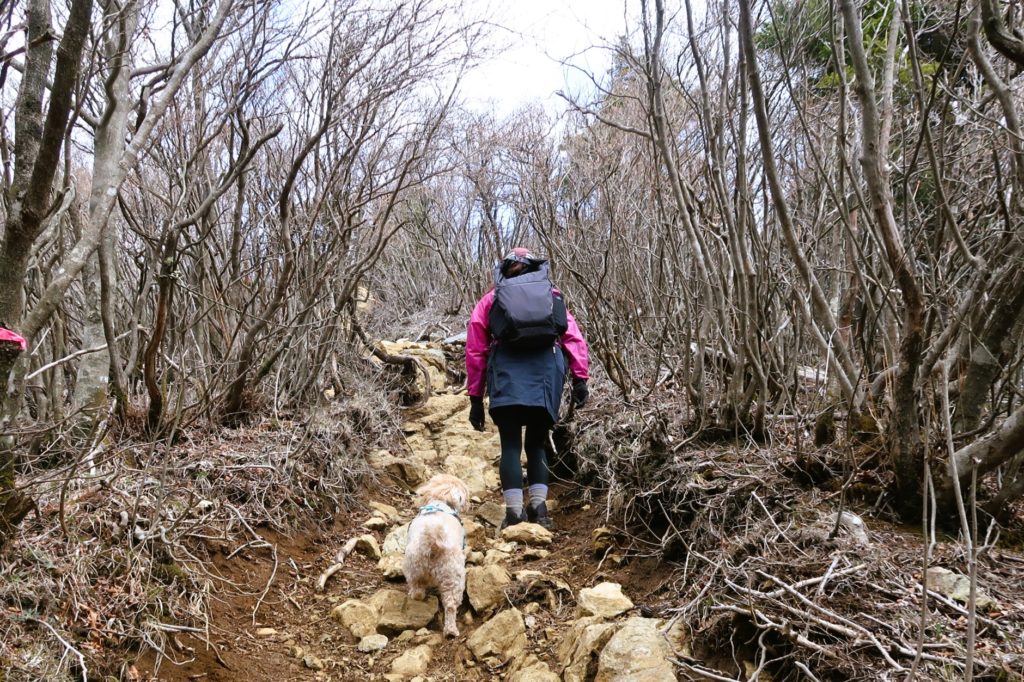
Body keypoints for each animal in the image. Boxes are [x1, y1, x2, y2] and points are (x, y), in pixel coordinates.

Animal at [402, 473, 470, 637]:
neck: (442, 503)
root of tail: (433, 542)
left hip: (414, 568)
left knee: (418, 590)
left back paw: (414, 595)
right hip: (453, 577)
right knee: (451, 605)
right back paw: (451, 631)